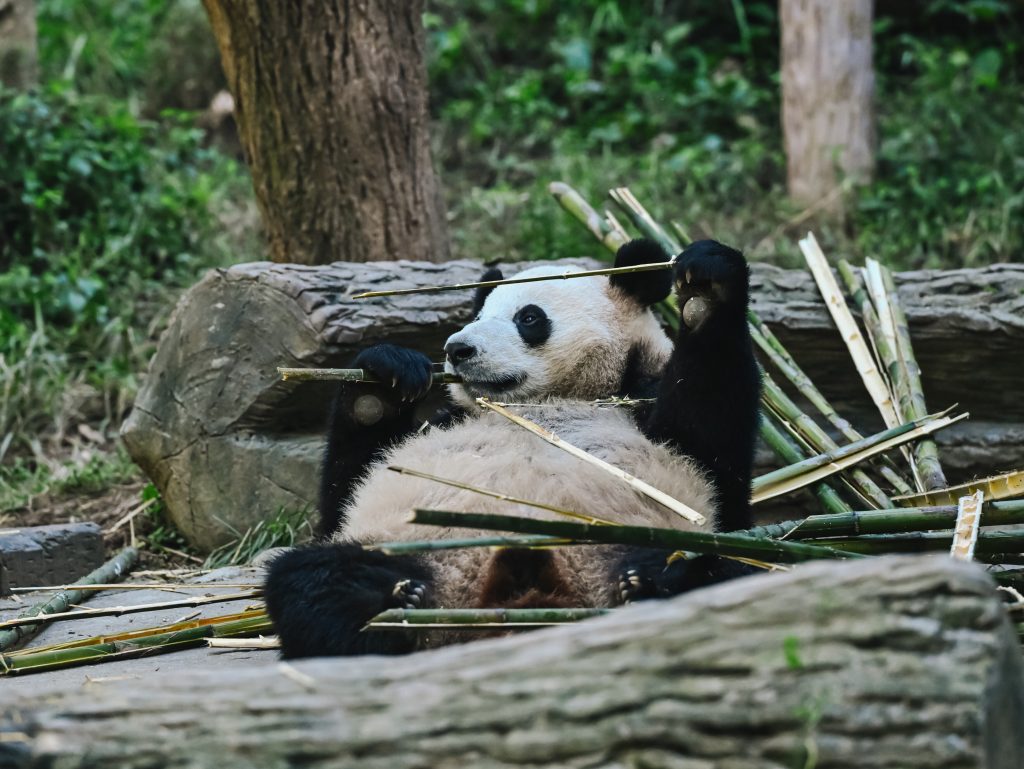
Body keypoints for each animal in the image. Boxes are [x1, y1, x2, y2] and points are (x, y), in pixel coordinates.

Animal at [264, 238, 762, 659]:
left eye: (529, 317)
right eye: (477, 315)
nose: (457, 349)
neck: (539, 405)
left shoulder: (644, 402)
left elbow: (710, 442)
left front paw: (706, 286)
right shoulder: (442, 423)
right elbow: (346, 492)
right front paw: (384, 378)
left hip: (656, 542)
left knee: (725, 571)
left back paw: (647, 586)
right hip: (405, 548)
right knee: (309, 580)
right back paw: (394, 605)